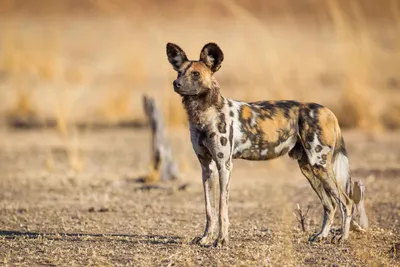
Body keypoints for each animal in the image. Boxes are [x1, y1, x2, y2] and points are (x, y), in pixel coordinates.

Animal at [166, 42, 368, 249]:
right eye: (179, 72)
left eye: (196, 74)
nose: (176, 84)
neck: (204, 114)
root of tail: (328, 111)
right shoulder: (206, 167)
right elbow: (209, 209)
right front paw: (206, 238)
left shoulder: (224, 165)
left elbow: (222, 208)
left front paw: (221, 240)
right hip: (308, 168)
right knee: (330, 205)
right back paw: (321, 235)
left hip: (320, 165)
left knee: (346, 202)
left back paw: (342, 237)